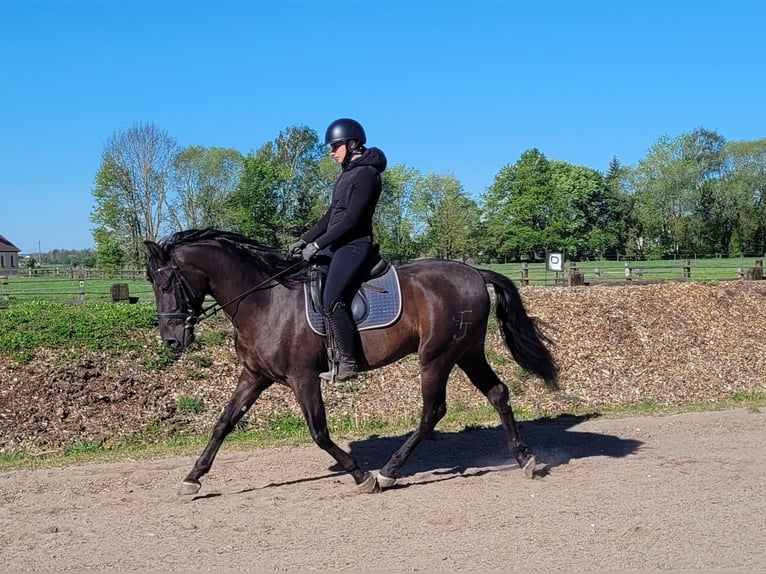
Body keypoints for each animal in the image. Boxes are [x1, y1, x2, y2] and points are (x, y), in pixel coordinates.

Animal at [143, 229, 558, 494]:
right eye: (150, 282)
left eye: (165, 283)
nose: (172, 340)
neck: (265, 302)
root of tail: (473, 271)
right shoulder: (255, 376)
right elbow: (223, 424)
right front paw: (192, 477)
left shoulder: (303, 377)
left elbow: (319, 433)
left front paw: (362, 476)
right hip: (467, 352)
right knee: (498, 393)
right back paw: (524, 459)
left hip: (436, 357)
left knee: (433, 411)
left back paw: (388, 472)